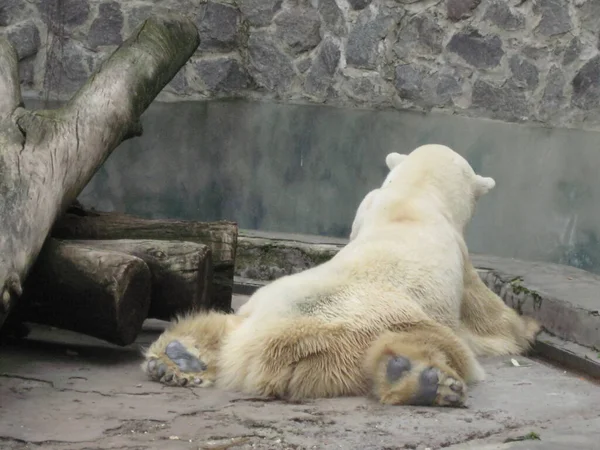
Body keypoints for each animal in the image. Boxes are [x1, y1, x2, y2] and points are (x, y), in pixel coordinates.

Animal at [142, 144, 540, 408]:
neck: (411, 197)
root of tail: (257, 348)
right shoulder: (459, 254)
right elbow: (489, 317)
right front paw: (530, 328)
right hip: (355, 334)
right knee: (436, 344)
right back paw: (423, 379)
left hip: (256, 309)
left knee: (218, 323)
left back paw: (177, 359)